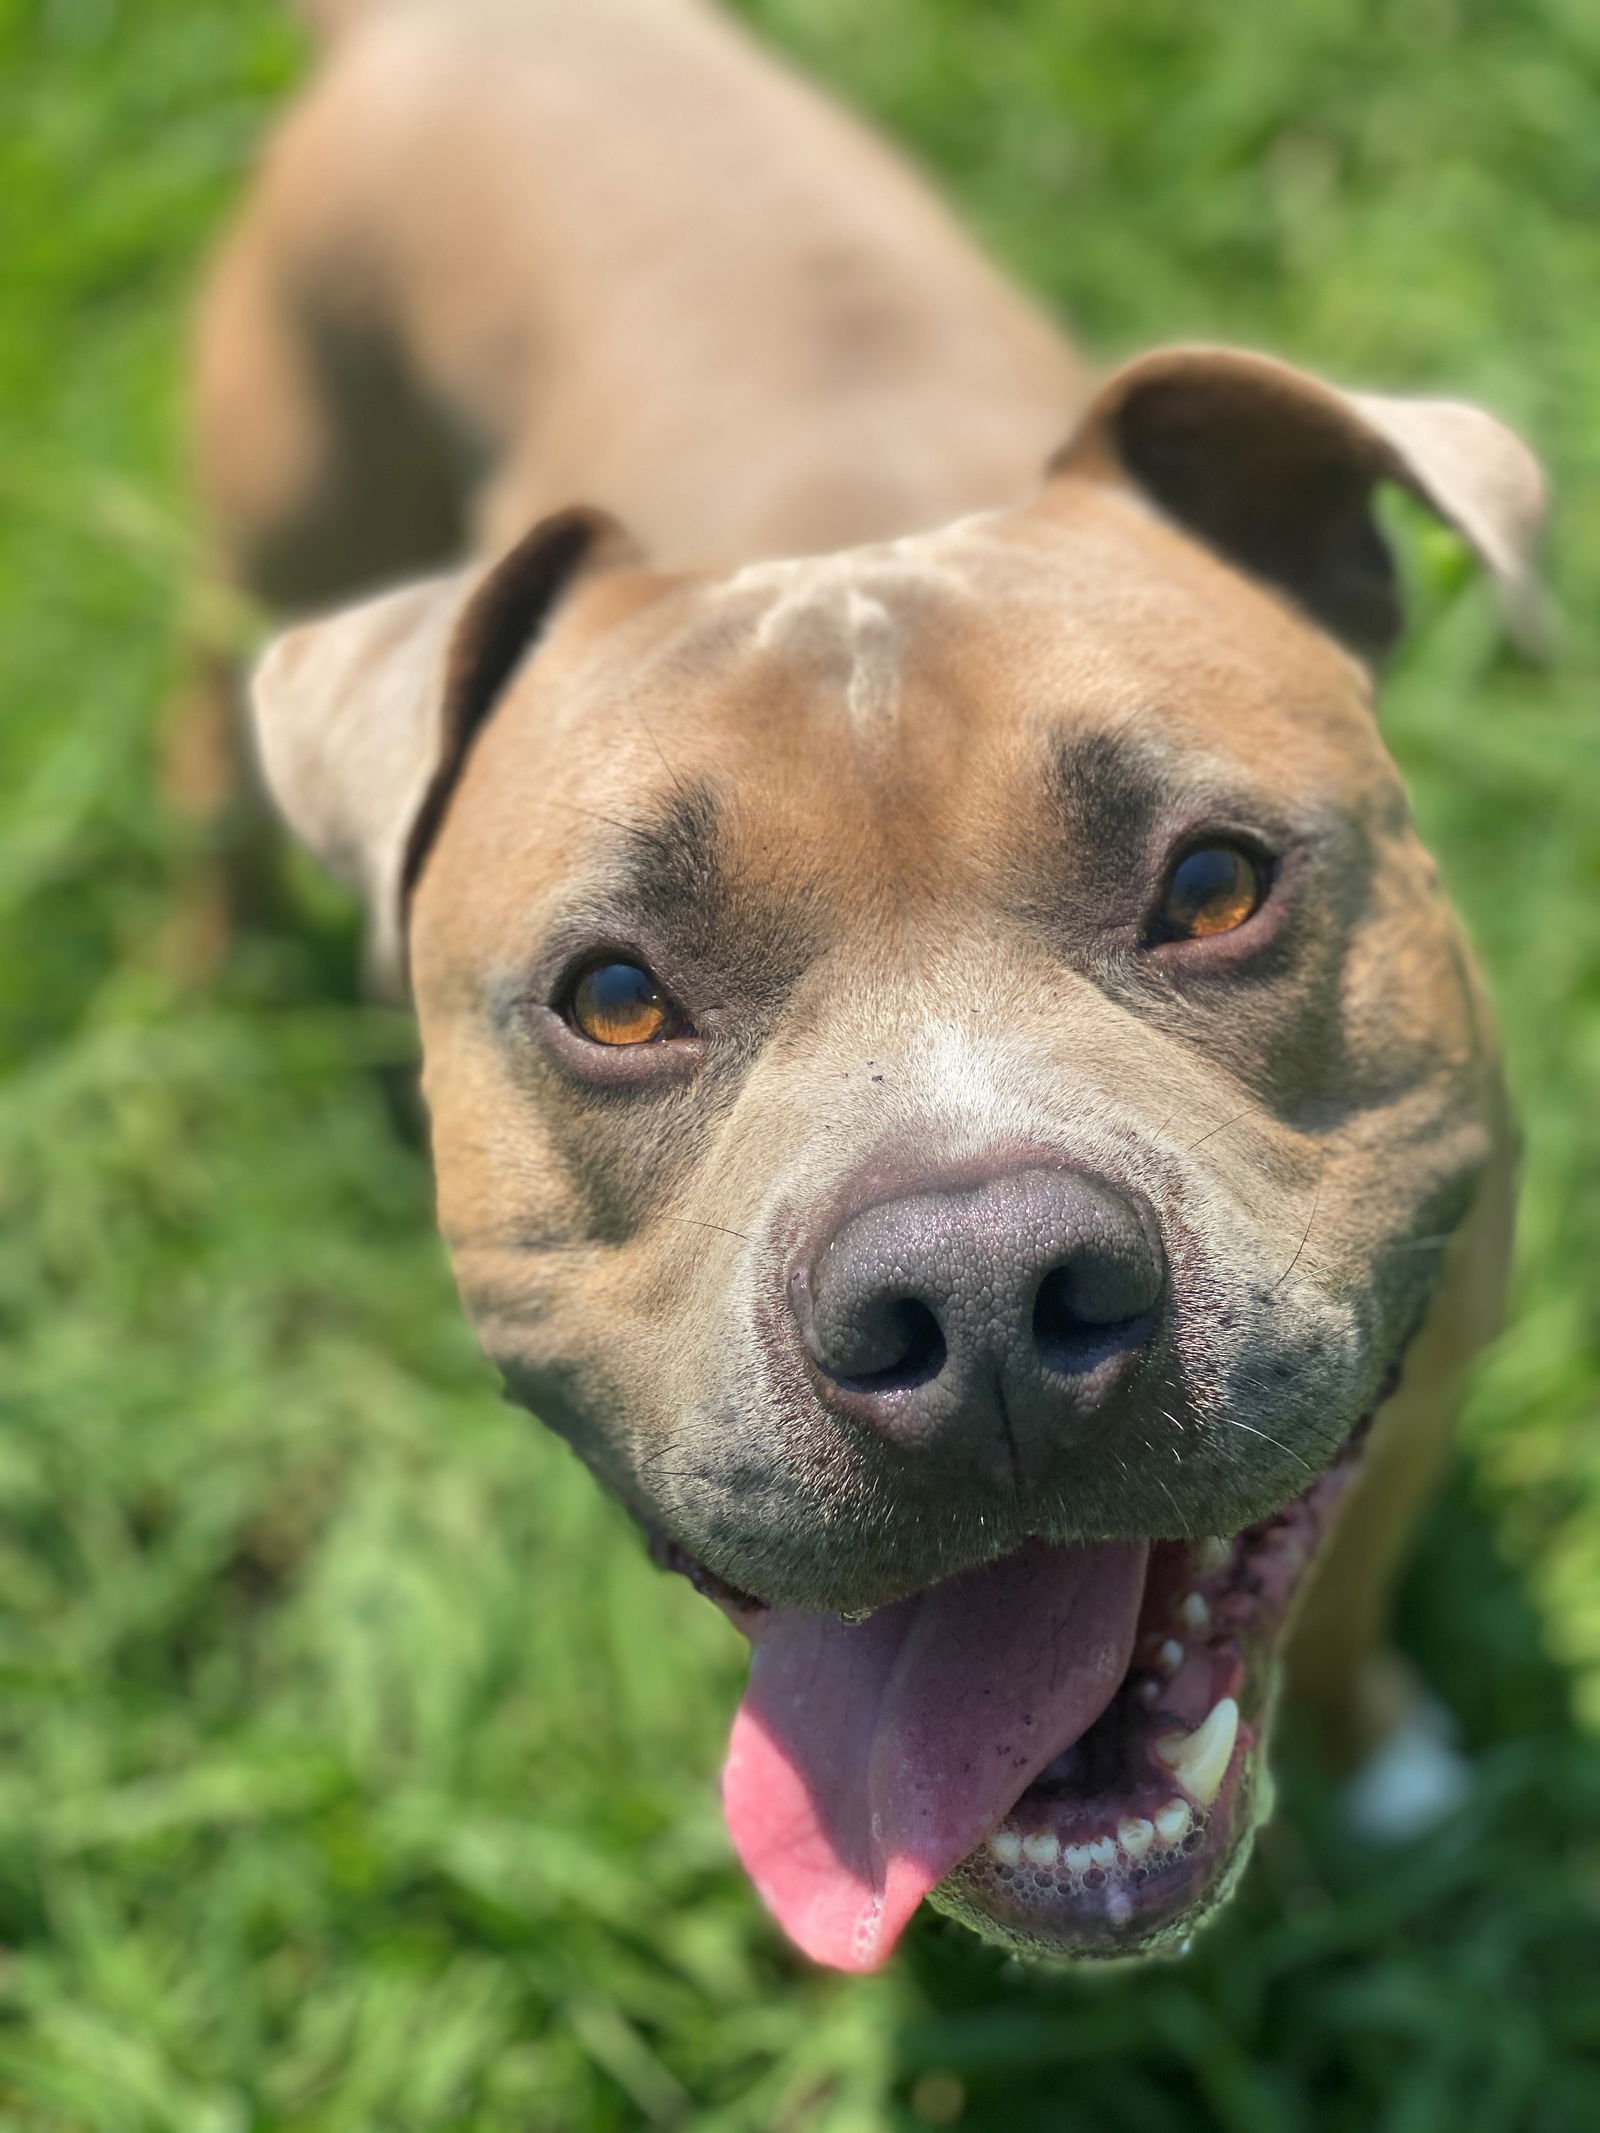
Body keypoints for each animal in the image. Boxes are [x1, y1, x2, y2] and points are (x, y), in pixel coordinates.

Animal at [194, 0, 1544, 1970]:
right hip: (278, 523)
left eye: (1213, 884)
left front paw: (1382, 1762)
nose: (982, 1297)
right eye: (615, 996)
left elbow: (1346, 1567)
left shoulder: (1425, 1367)